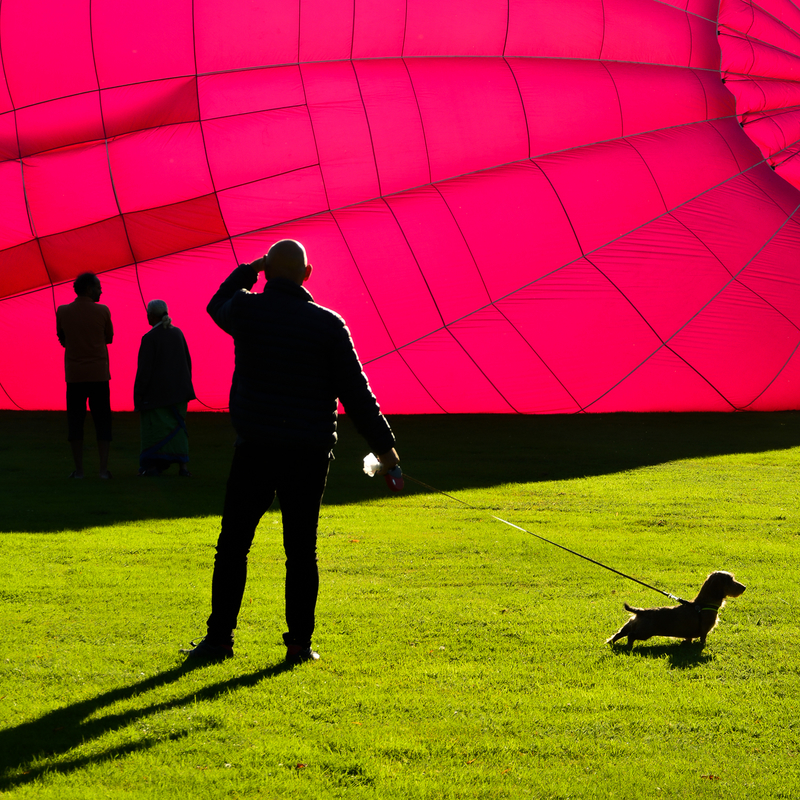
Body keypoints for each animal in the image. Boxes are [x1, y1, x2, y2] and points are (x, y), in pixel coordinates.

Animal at [608, 572, 748, 648]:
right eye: (730, 580)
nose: (744, 587)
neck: (702, 604)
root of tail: (641, 611)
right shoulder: (704, 631)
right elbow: (703, 639)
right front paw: (702, 646)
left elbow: (688, 638)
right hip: (644, 632)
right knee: (630, 636)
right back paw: (629, 646)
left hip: (629, 626)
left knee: (618, 634)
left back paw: (610, 643)